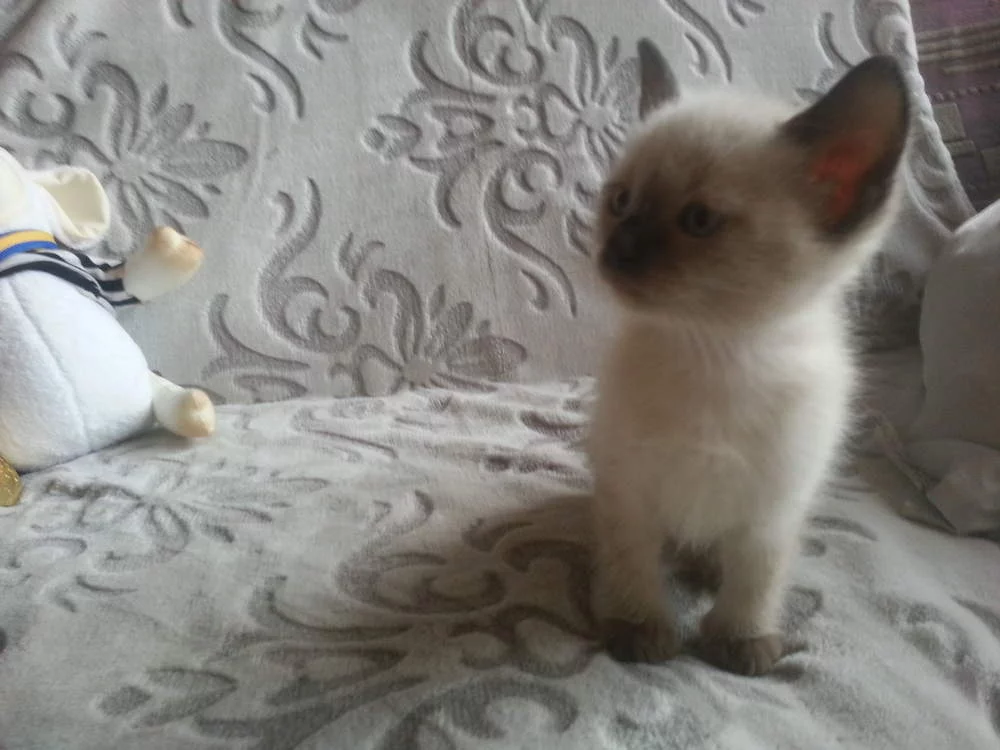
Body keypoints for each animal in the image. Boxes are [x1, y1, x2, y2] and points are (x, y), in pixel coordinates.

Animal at [587, 42, 910, 675]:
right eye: (621, 201)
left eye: (698, 220)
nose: (616, 251)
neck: (718, 354)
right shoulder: (628, 489)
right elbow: (633, 563)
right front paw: (640, 629)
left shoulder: (775, 506)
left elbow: (757, 576)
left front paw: (742, 638)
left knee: (719, 556)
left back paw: (708, 570)